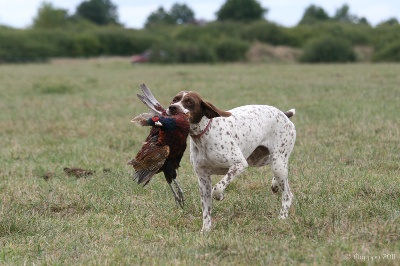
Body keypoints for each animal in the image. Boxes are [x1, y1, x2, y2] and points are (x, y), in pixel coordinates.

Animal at [167, 91, 296, 231]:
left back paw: (282, 217)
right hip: (260, 159)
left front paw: (220, 196)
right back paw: (275, 184)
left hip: (277, 163)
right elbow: (206, 210)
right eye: (174, 100)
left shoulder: (239, 164)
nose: (172, 107)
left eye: (189, 102)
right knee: (280, 170)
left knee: (287, 194)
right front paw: (206, 230)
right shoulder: (203, 179)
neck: (204, 135)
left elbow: (217, 188)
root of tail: (284, 114)